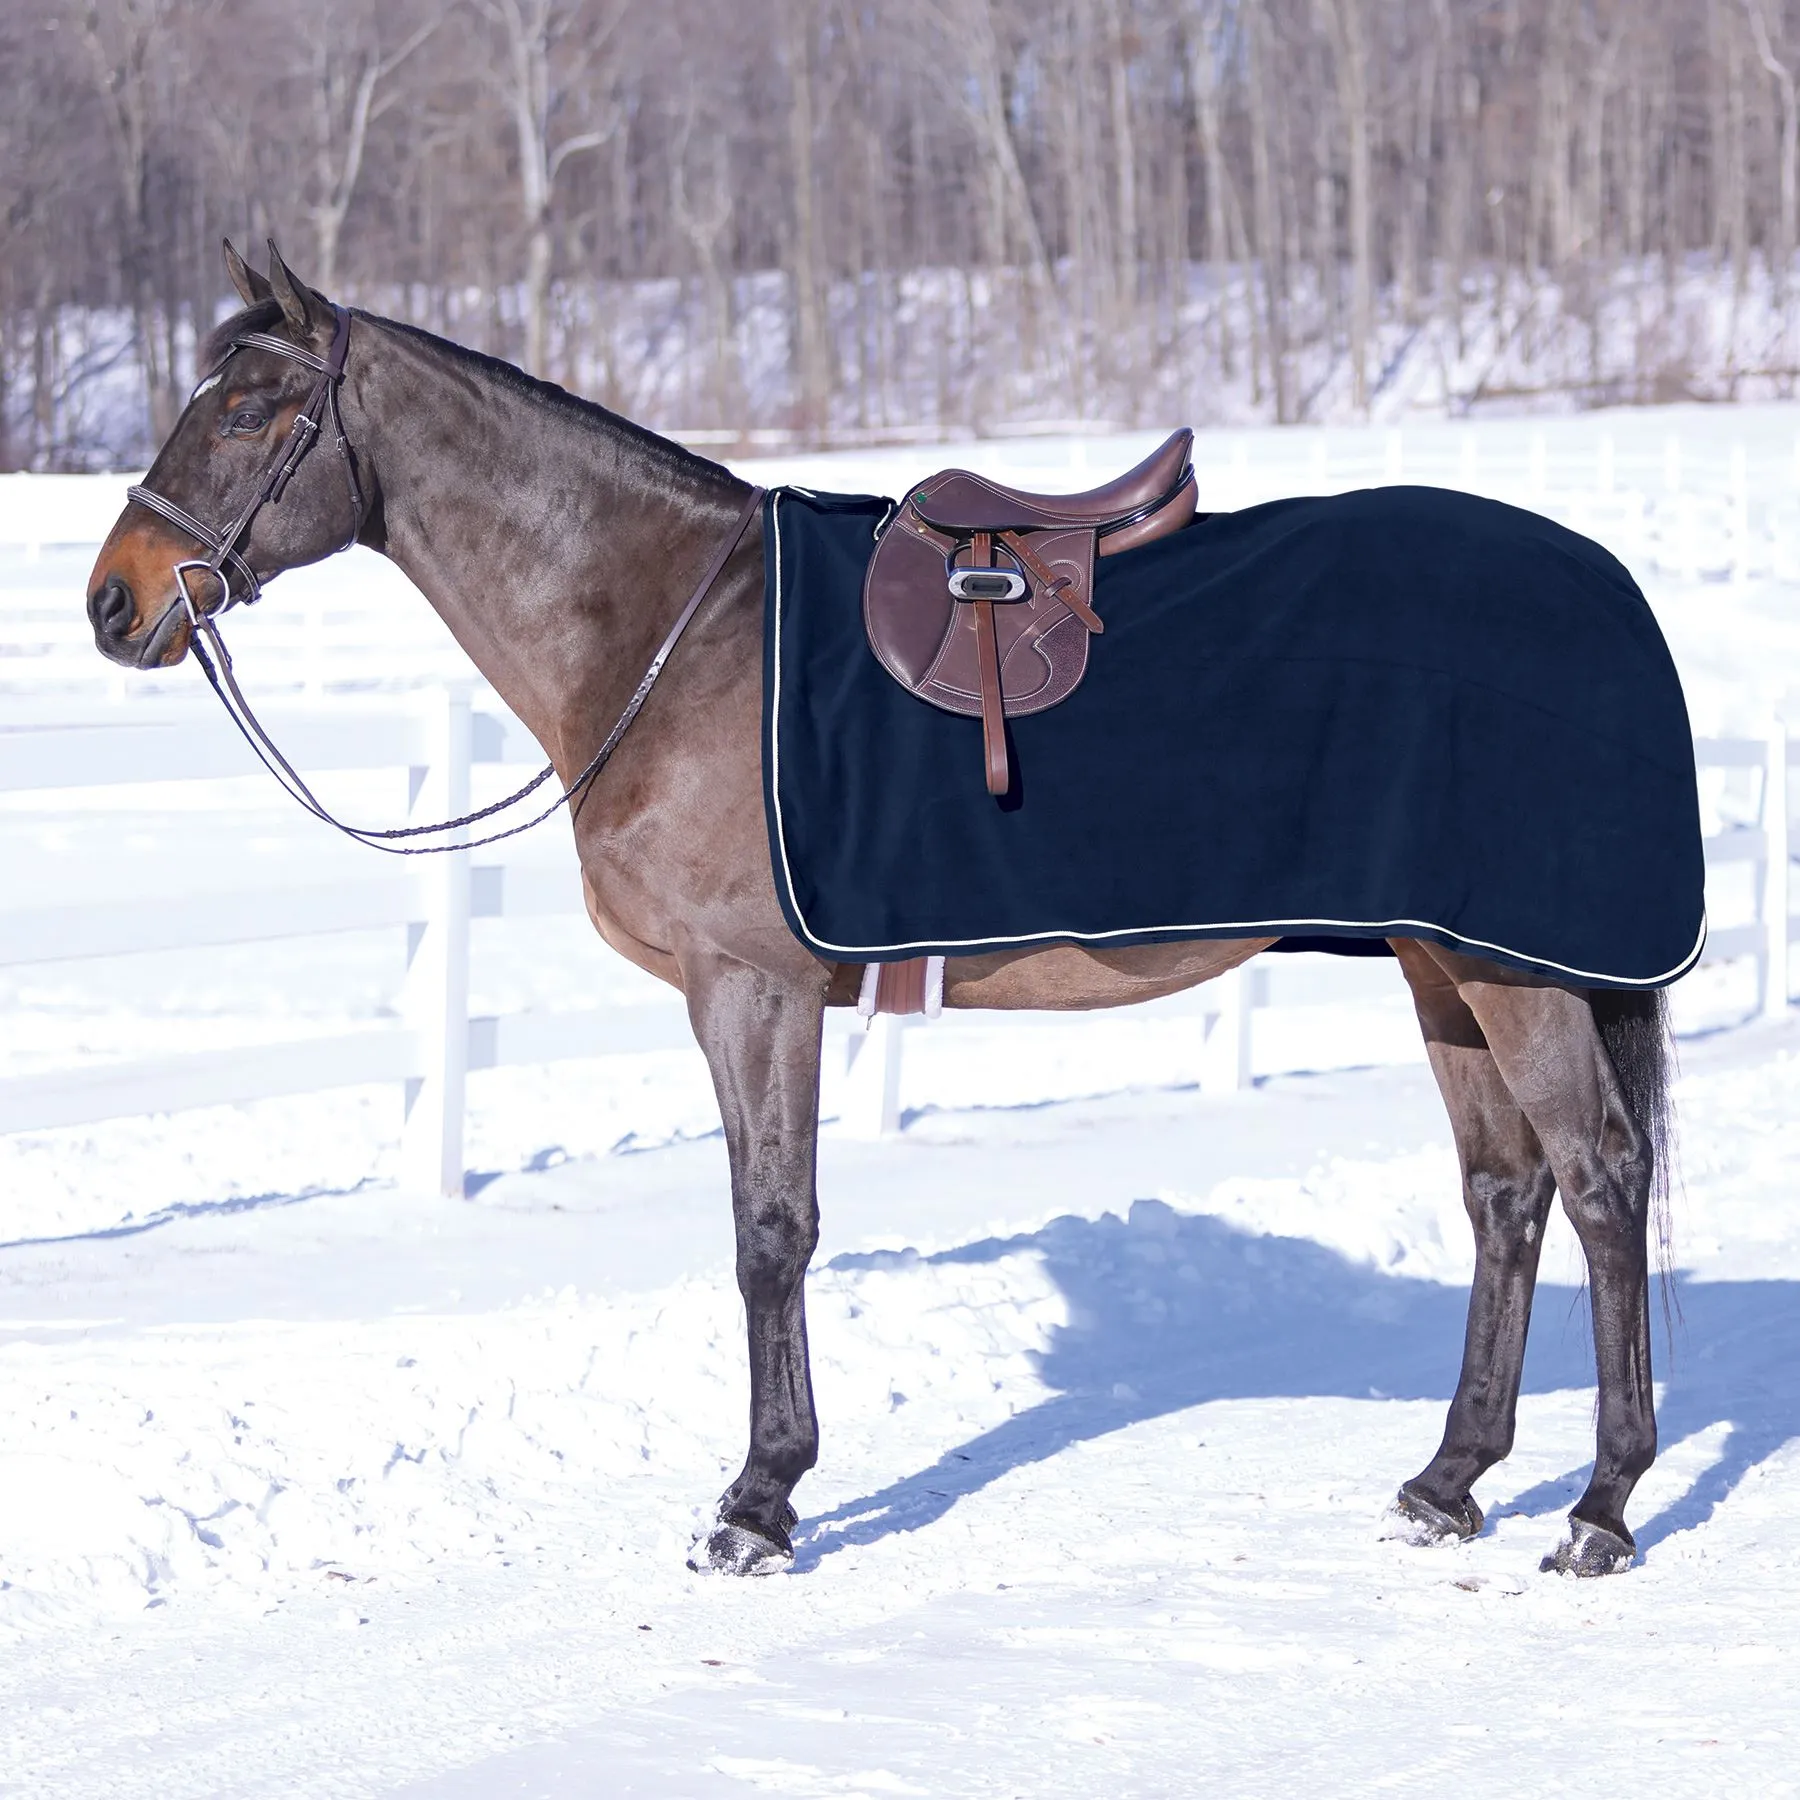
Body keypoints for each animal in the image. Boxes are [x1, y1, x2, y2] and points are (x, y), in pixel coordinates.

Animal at [86, 241, 1675, 1581]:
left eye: (251, 410)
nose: (113, 600)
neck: (668, 628)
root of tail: (1603, 582)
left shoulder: (754, 987)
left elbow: (769, 1232)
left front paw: (758, 1502)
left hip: (1511, 972)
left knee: (1599, 1180)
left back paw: (1600, 1506)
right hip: (1443, 966)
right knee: (1507, 1192)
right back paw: (1450, 1482)